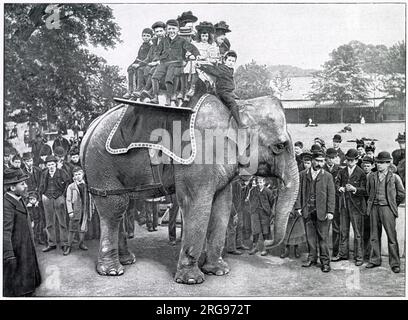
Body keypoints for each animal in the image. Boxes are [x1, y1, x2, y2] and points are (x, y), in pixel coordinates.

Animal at [80, 89, 300, 284]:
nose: (266, 245)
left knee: (123, 206)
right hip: (101, 164)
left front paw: (219, 271)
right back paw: (112, 271)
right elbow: (197, 204)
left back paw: (127, 260)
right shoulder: (197, 158)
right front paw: (192, 279)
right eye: (279, 146)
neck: (237, 109)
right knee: (115, 206)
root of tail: (90, 129)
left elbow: (222, 206)